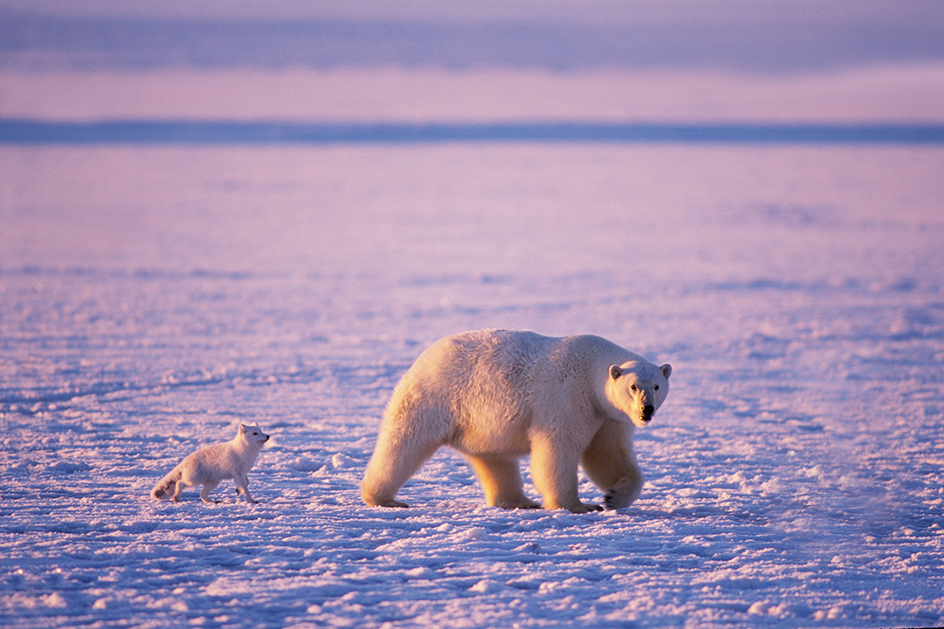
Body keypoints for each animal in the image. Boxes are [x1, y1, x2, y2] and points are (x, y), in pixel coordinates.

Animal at [362, 328, 672, 510]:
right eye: (634, 386)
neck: (591, 367)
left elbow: (607, 454)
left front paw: (614, 496)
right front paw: (577, 505)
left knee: (494, 459)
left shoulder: (608, 415)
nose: (646, 410)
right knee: (404, 444)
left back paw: (519, 501)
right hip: (435, 398)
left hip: (480, 424)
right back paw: (384, 498)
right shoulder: (567, 397)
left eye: (657, 385)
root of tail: (423, 357)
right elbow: (557, 450)